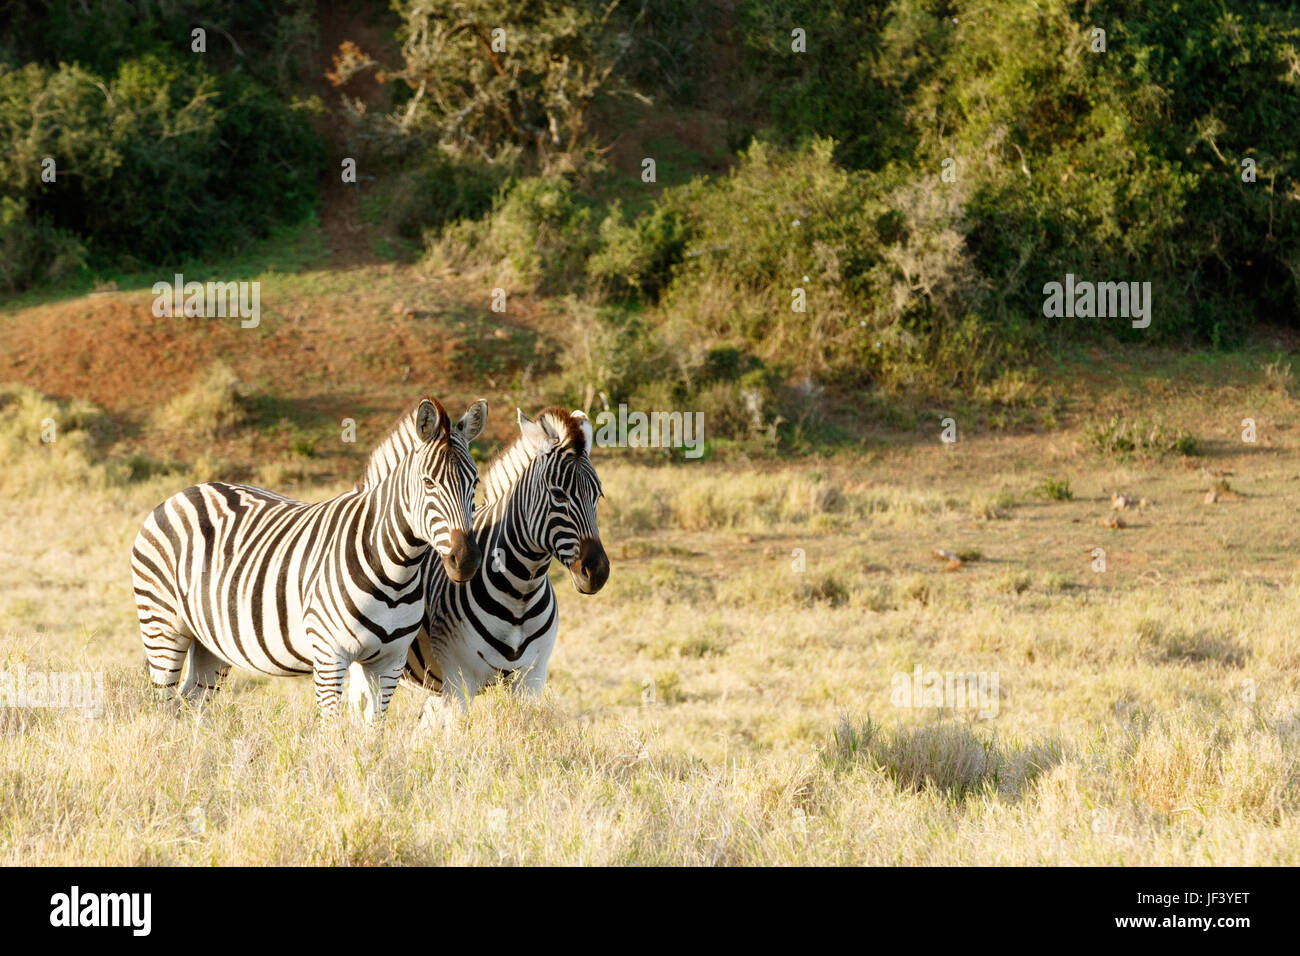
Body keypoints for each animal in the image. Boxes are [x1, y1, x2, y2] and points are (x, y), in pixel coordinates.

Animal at [130, 397, 487, 720]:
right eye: (428, 483)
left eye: (475, 482)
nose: (466, 560)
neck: (396, 567)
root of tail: (183, 493)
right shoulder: (330, 656)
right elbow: (332, 730)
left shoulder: (389, 661)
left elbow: (374, 733)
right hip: (162, 625)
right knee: (164, 706)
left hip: (210, 640)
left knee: (189, 702)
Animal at [391, 406, 609, 723]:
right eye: (558, 494)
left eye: (598, 495)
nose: (598, 573)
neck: (520, 592)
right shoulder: (460, 680)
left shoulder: (531, 680)